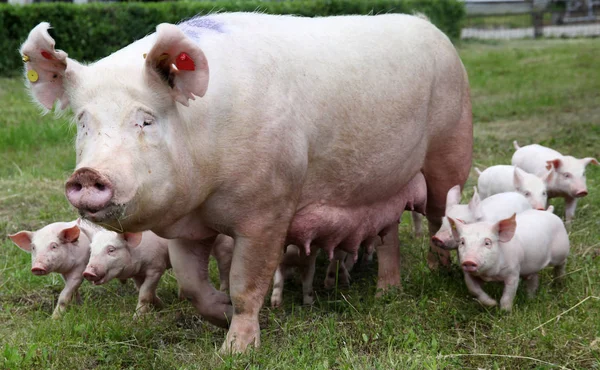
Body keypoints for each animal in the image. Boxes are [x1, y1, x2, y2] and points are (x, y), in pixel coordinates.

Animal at [21, 12, 474, 352]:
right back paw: (386, 293)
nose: (87, 175)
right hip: (383, 185)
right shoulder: (185, 226)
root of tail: (431, 28)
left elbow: (246, 283)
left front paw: (235, 350)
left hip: (451, 150)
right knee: (388, 234)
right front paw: (219, 312)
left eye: (145, 120)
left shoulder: (269, 207)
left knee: (438, 216)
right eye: (83, 123)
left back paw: (435, 270)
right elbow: (191, 286)